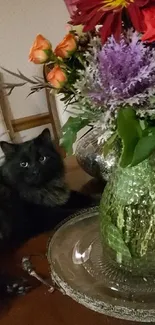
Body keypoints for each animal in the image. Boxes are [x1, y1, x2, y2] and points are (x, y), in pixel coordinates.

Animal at [0, 128, 94, 298]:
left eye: (42, 158)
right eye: (23, 164)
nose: (36, 171)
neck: (43, 188)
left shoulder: (63, 198)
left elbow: (81, 196)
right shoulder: (41, 216)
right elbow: (72, 211)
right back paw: (16, 286)